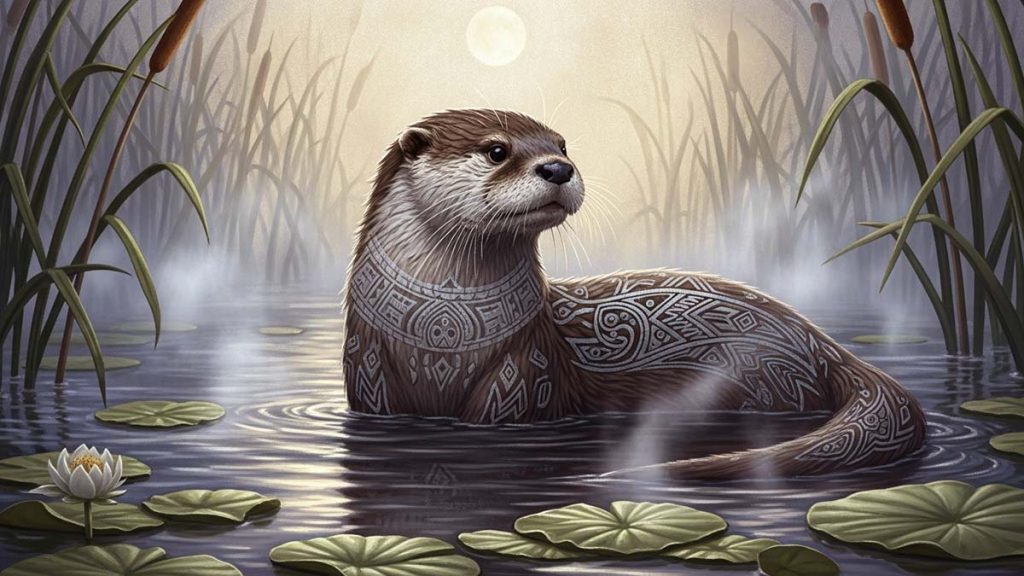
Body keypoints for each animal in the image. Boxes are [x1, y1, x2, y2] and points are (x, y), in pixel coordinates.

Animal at [342, 109, 926, 478]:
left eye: (562, 145)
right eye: (496, 150)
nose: (558, 168)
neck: (442, 336)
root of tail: (827, 346)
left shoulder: (522, 373)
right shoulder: (370, 368)